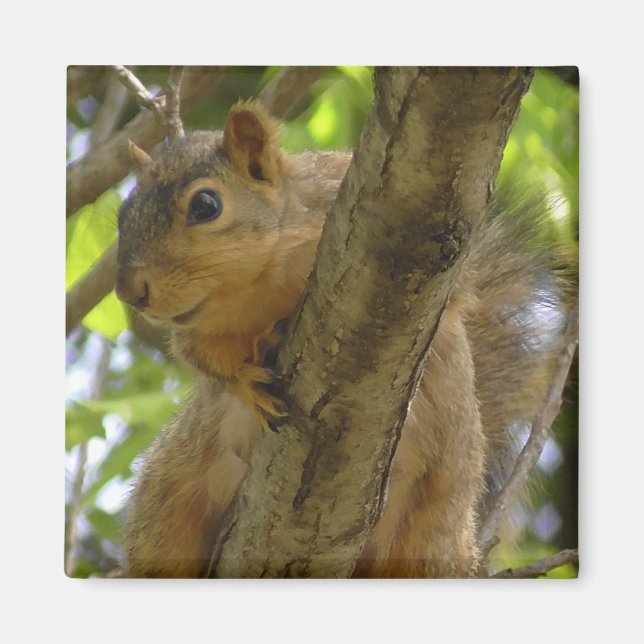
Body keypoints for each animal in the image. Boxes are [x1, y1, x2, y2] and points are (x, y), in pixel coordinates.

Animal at [115, 100, 575, 578]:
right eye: (122, 214)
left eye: (206, 205)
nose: (130, 292)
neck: (264, 282)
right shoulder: (196, 331)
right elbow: (203, 358)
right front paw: (249, 379)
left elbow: (450, 308)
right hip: (167, 494)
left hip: (435, 527)